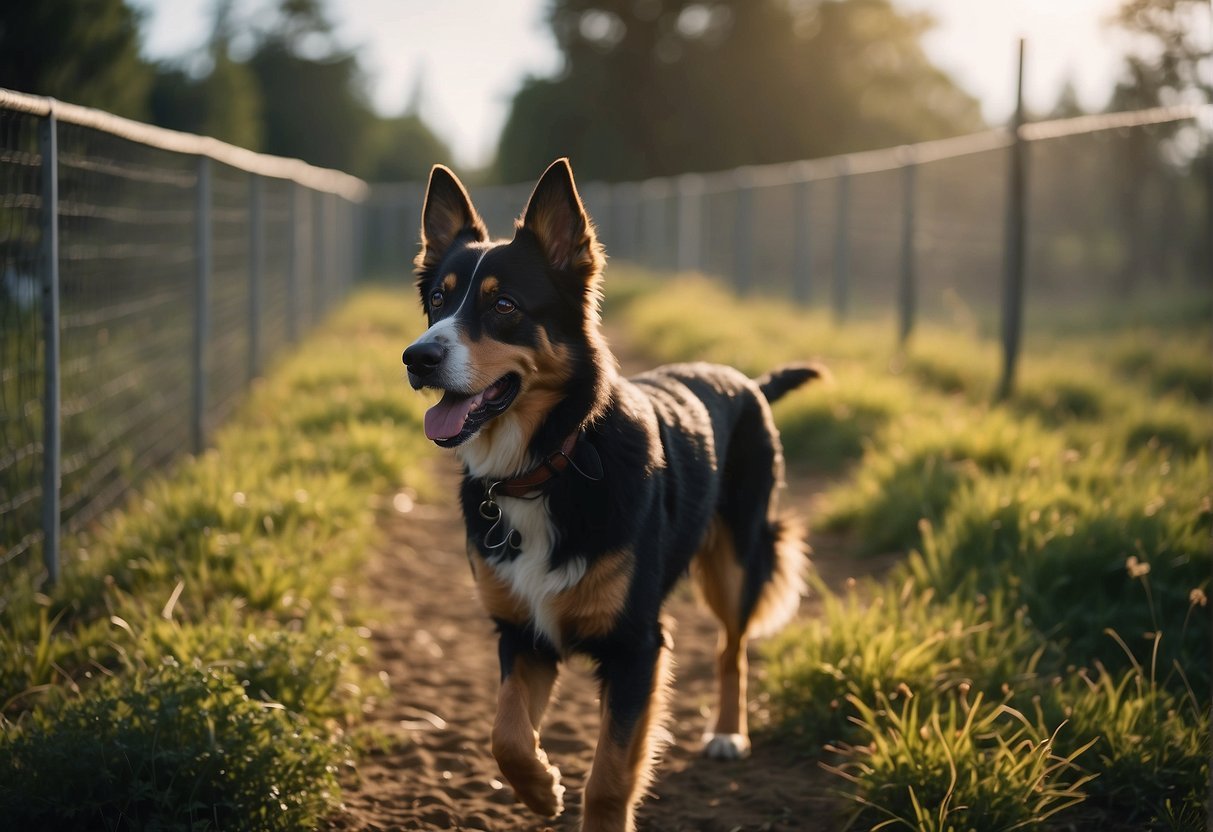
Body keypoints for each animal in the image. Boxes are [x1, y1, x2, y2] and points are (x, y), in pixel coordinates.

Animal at [402, 157, 819, 832]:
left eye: (505, 305)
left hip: (736, 558)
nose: (416, 357)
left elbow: (609, 776)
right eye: (438, 300)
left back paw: (728, 733)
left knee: (732, 648)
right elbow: (505, 735)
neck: (551, 462)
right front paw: (542, 789)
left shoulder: (636, 648)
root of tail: (746, 381)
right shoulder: (522, 633)